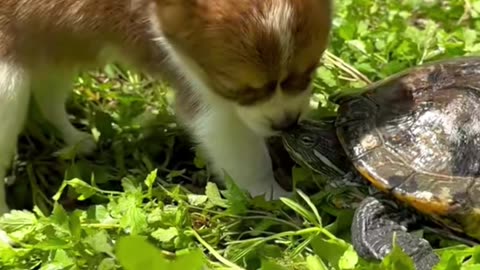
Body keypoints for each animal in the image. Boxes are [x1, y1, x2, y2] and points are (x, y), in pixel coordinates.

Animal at [0, 0, 332, 221]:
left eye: (309, 72)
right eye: (240, 90)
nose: (287, 124)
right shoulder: (206, 100)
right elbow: (245, 155)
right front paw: (273, 194)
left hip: (53, 47)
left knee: (48, 97)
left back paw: (76, 140)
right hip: (9, 86)